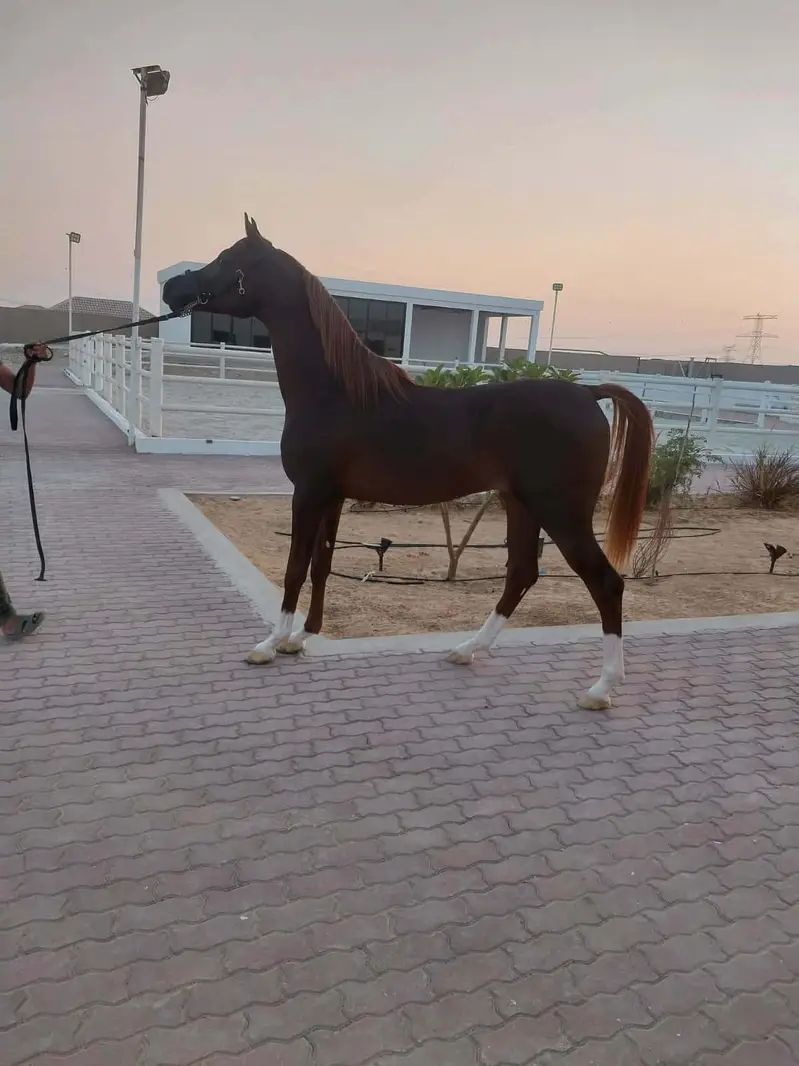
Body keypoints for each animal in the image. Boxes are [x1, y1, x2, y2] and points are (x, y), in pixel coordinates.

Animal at [163, 215, 655, 710]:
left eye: (226, 259)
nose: (171, 287)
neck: (335, 392)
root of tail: (587, 393)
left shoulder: (309, 493)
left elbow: (295, 567)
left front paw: (269, 644)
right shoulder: (333, 497)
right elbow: (321, 565)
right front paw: (301, 637)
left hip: (562, 512)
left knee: (605, 583)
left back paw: (601, 688)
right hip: (520, 504)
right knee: (521, 573)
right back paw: (467, 649)